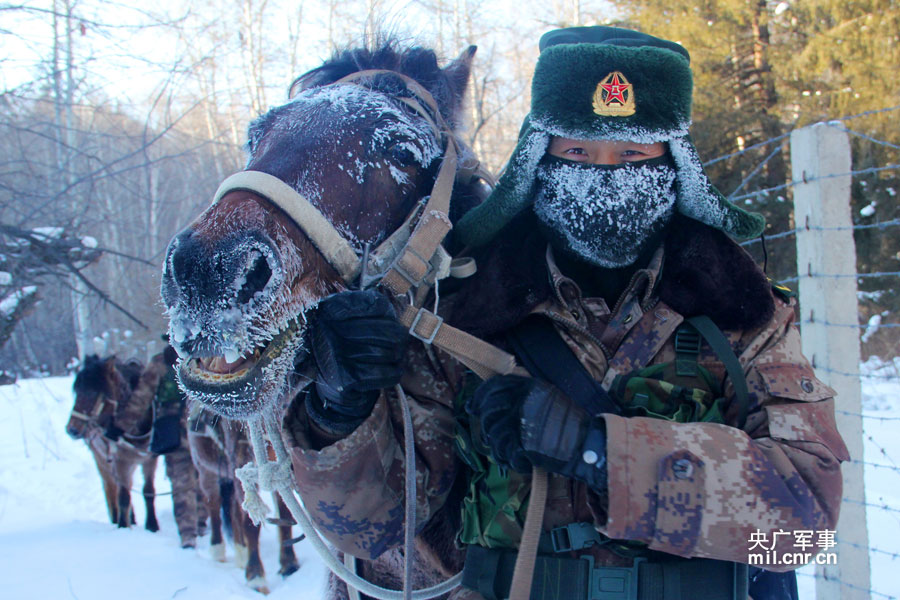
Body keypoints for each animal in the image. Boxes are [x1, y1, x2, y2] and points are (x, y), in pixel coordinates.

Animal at [67, 354, 160, 532]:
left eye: (92, 393)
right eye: (76, 392)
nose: (71, 430)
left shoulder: (150, 459)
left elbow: (148, 491)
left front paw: (152, 526)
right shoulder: (120, 460)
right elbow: (123, 495)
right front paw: (123, 526)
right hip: (103, 461)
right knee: (112, 487)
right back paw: (120, 518)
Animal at [188, 406, 300, 592]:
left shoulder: (278, 464)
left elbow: (286, 513)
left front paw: (289, 564)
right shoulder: (242, 461)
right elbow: (250, 524)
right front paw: (255, 576)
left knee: (233, 512)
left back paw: (241, 553)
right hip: (206, 471)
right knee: (213, 506)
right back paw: (218, 550)